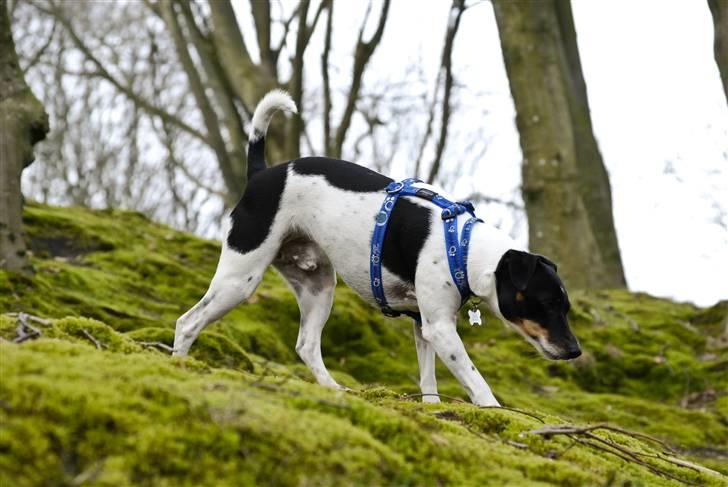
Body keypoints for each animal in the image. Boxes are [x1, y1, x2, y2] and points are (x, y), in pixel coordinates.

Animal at [173, 89, 584, 406]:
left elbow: (428, 379)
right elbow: (475, 379)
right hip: (240, 277)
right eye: (546, 304)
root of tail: (260, 174)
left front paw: (431, 407)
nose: (575, 351)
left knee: (306, 345)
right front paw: (493, 409)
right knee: (187, 322)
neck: (463, 245)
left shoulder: (422, 323)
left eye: (565, 307)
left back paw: (333, 388)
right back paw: (179, 365)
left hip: (318, 285)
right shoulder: (440, 328)